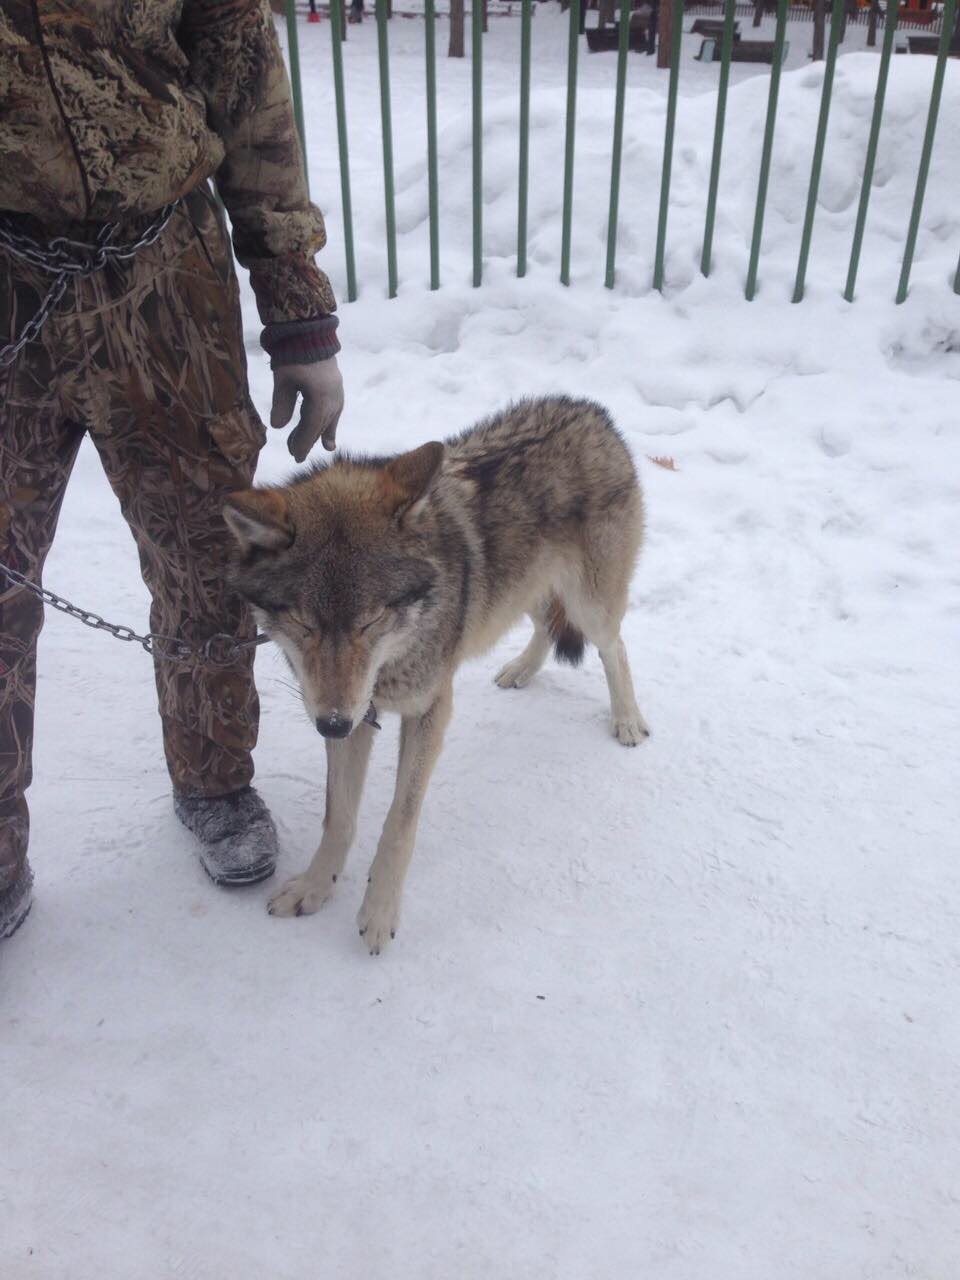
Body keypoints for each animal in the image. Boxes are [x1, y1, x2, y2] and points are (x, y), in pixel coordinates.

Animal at [225, 396, 647, 952]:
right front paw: (315, 887)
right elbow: (338, 817)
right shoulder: (356, 714)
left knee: (615, 646)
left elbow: (398, 822)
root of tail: (591, 411)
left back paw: (626, 720)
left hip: (588, 605)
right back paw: (521, 670)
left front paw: (379, 912)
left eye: (370, 621)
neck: (393, 657)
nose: (331, 725)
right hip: (523, 588)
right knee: (545, 626)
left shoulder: (427, 709)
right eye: (303, 624)